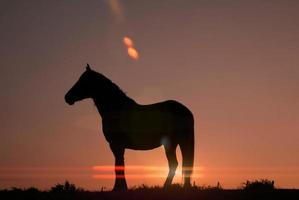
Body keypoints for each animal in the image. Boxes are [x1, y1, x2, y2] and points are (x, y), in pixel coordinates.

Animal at [64, 64, 196, 191]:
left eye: (83, 81)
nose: (67, 97)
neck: (117, 109)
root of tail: (185, 111)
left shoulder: (115, 145)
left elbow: (118, 166)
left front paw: (118, 189)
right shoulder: (119, 146)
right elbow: (120, 165)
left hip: (172, 143)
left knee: (174, 163)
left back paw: (166, 187)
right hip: (179, 142)